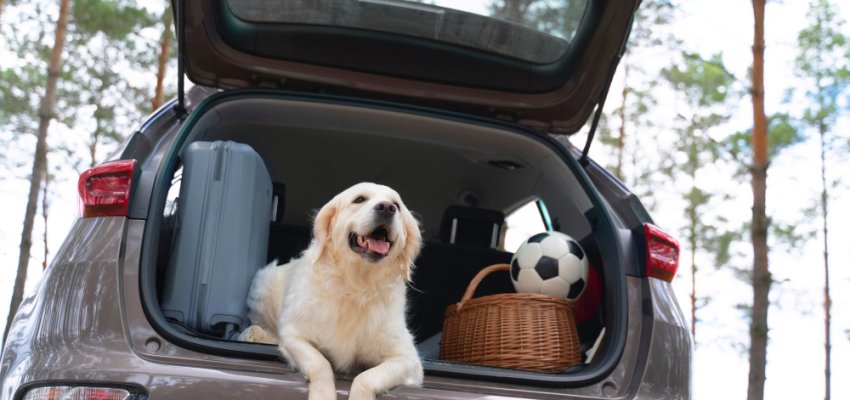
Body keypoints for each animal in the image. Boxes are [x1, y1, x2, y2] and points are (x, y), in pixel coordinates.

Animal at [238, 182, 424, 400]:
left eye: (397, 205)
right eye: (359, 199)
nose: (387, 208)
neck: (357, 286)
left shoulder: (409, 359)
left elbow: (366, 377)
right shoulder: (293, 335)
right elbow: (320, 362)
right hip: (263, 284)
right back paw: (256, 334)